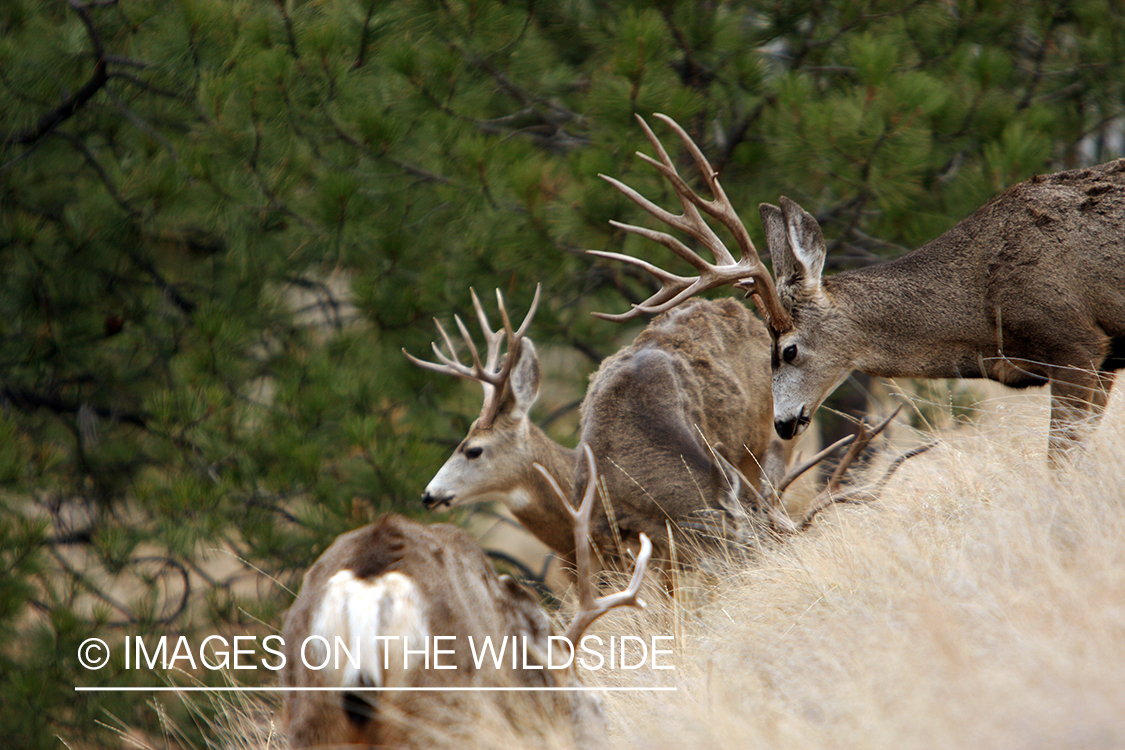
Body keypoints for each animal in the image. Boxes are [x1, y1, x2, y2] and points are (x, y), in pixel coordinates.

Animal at [593, 113, 1125, 466]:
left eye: (787, 351)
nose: (782, 423)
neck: (982, 303)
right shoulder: (1102, 360)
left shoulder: (1076, 343)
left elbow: (1060, 463)